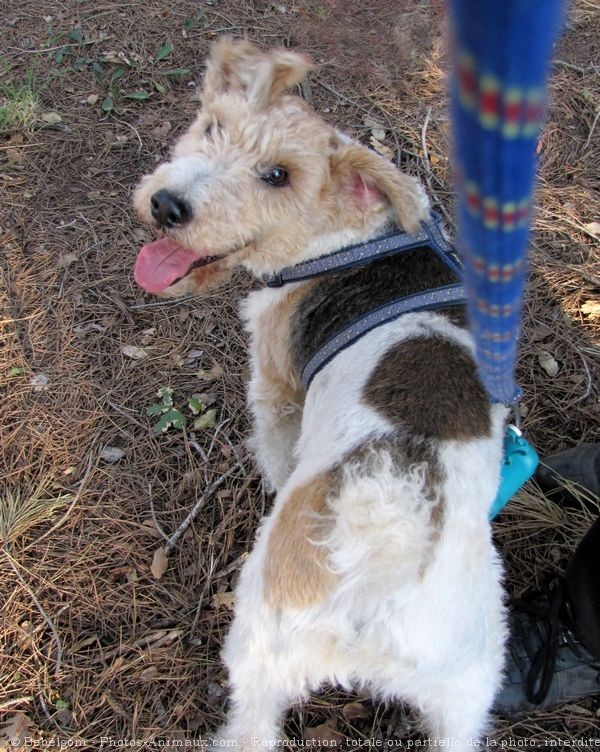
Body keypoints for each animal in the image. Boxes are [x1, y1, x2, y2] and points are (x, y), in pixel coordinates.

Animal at [134, 36, 508, 748]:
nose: (168, 205)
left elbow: (276, 450)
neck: (346, 241)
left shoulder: (275, 385)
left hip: (259, 642)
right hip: (467, 692)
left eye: (278, 176)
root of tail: (374, 583)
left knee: (252, 726)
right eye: (212, 126)